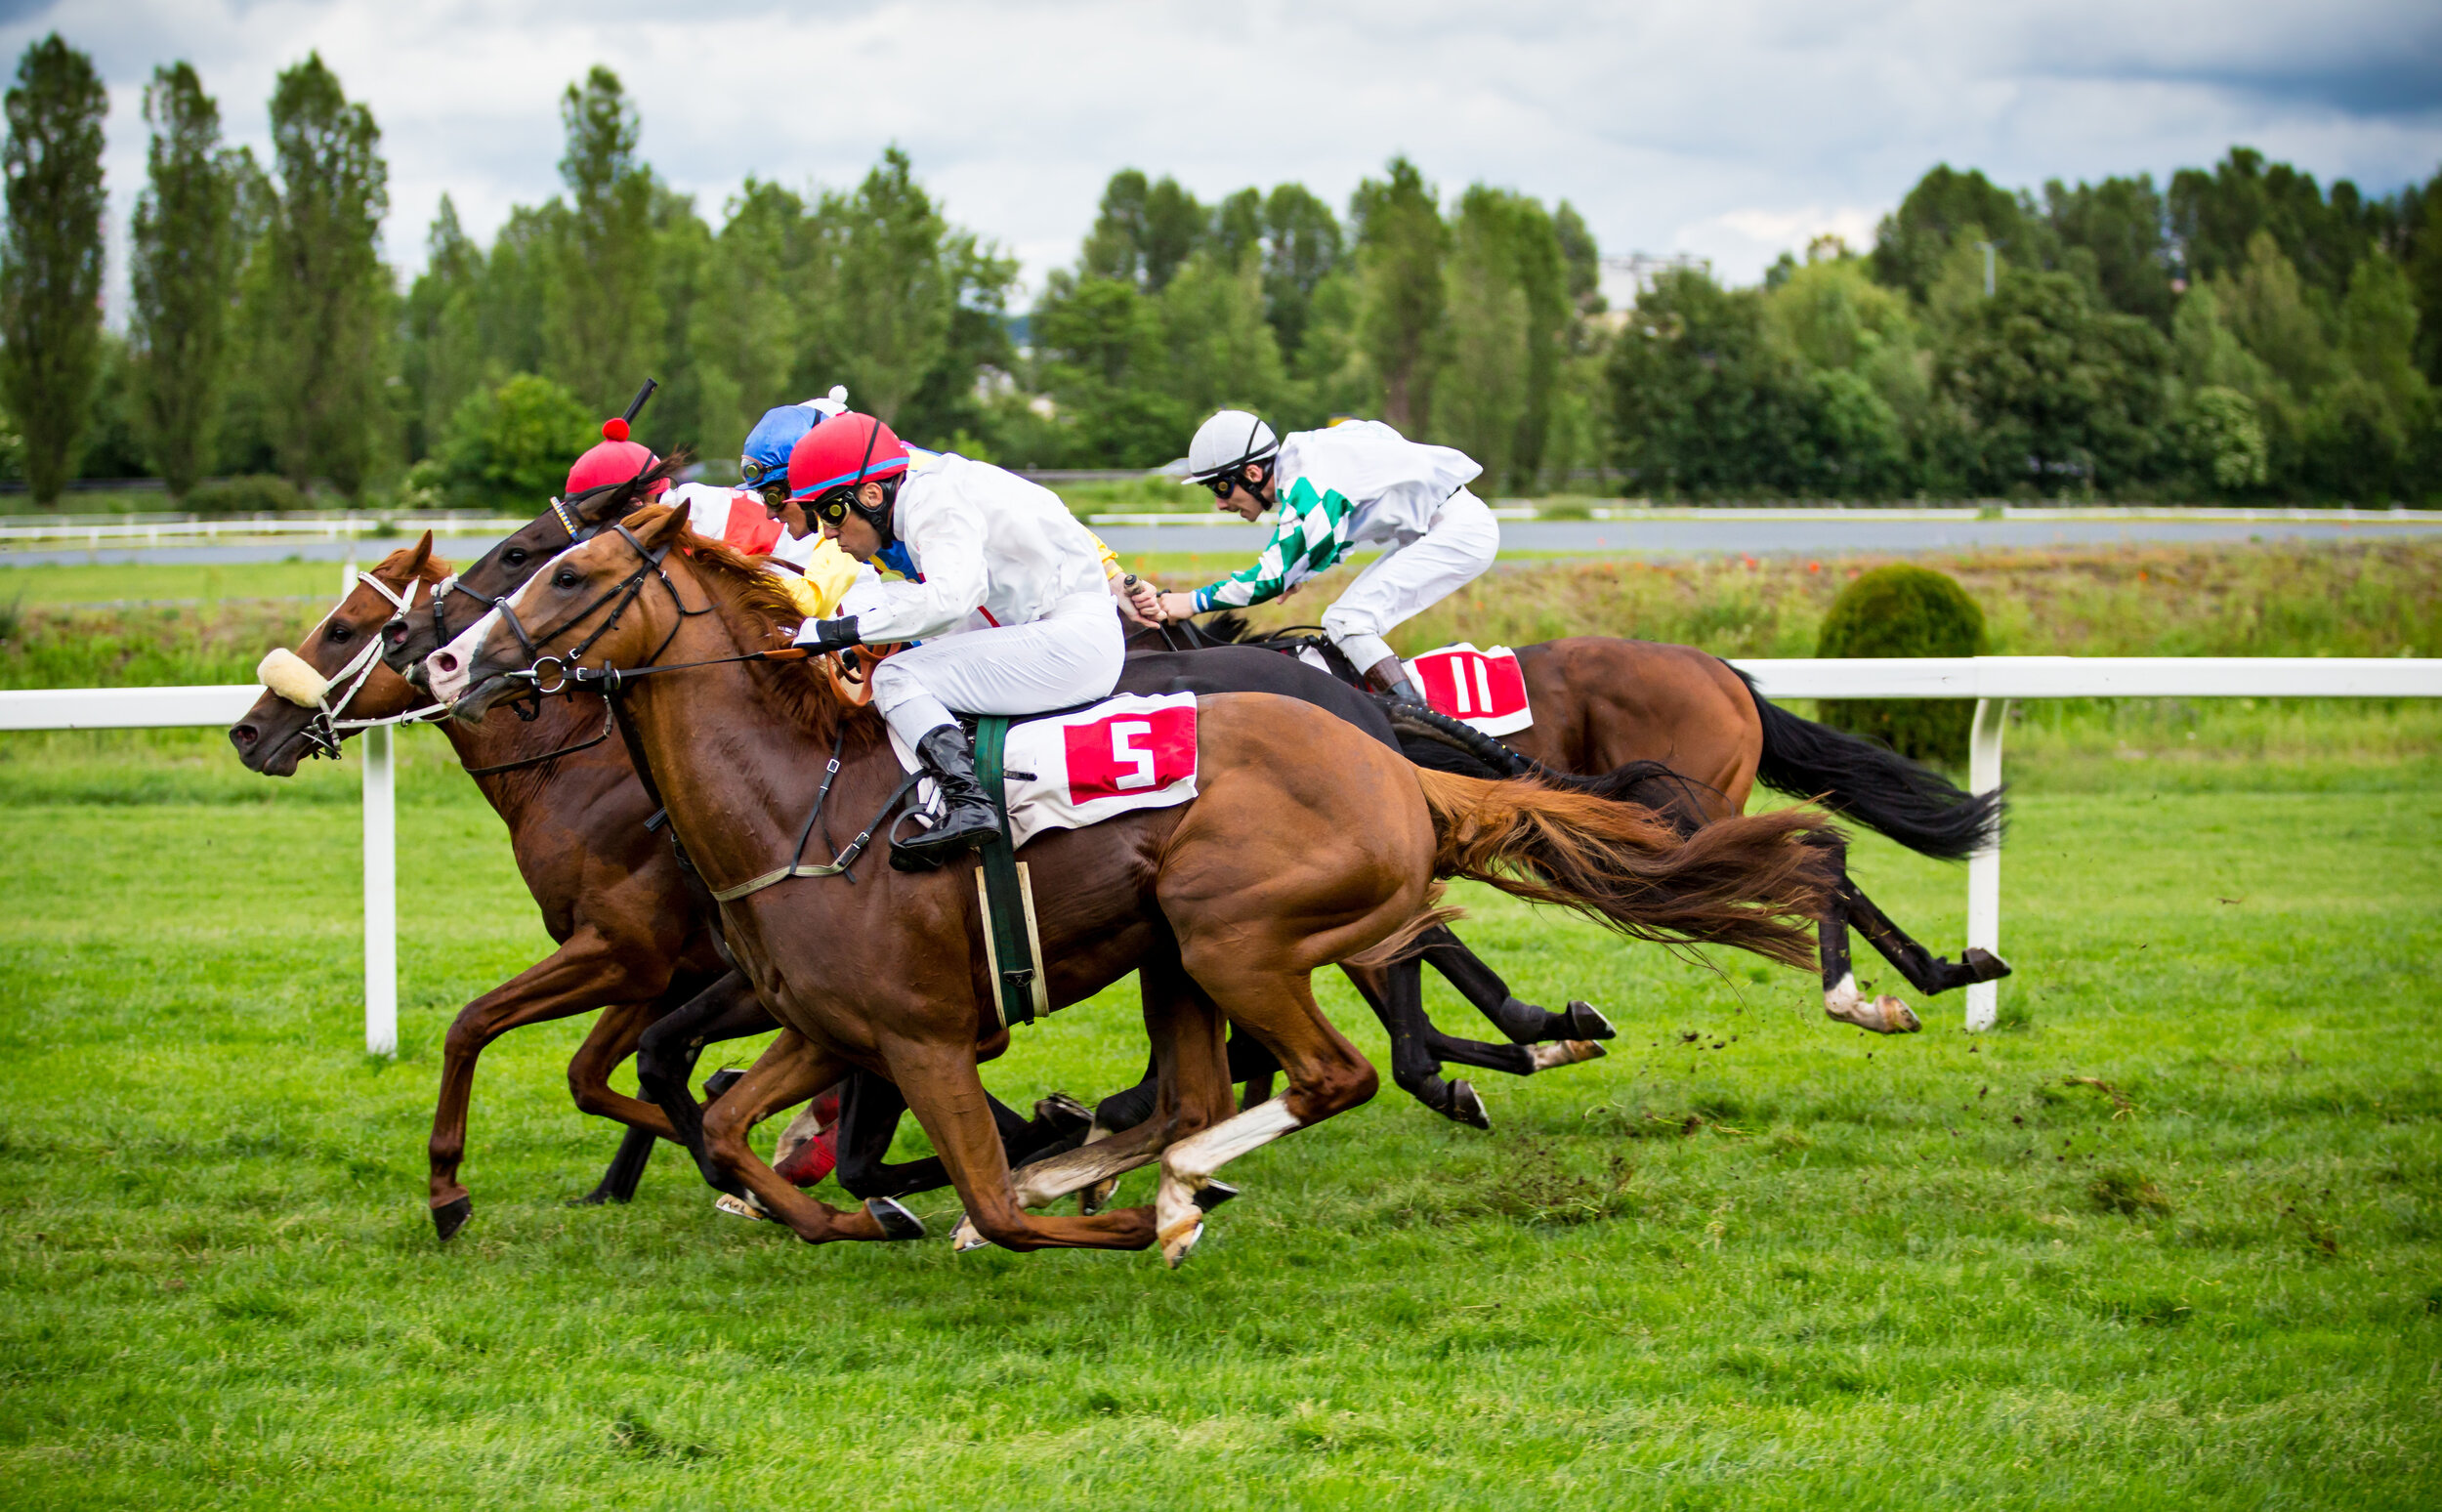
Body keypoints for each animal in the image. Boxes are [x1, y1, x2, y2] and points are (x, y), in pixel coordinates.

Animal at [430, 500, 1836, 1270]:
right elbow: (727, 1126)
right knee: (1204, 1089)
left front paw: (1059, 1205)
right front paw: (860, 1214)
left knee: (1326, 1072)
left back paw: (1170, 1184)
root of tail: (1394, 764)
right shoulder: (834, 1027)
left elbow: (988, 1201)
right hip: (1176, 952)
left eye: (562, 570)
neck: (800, 802)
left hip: (1230, 938)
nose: (443, 660)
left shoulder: (926, 1037)